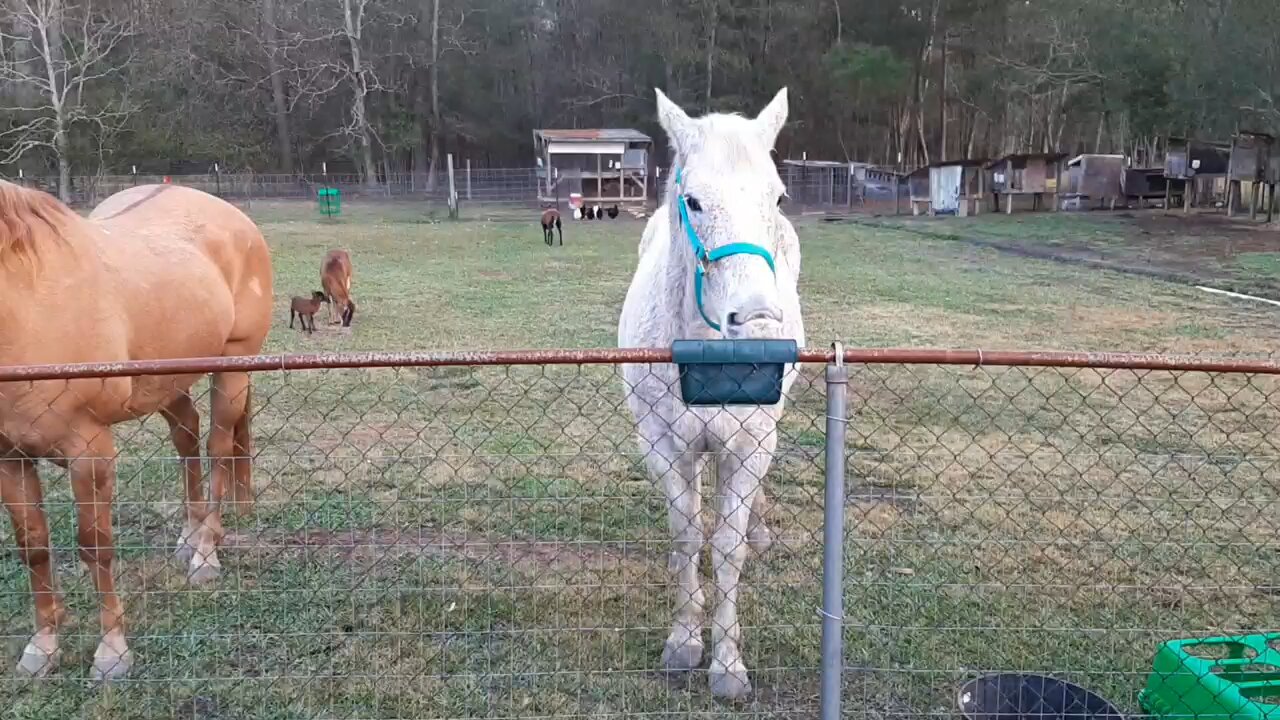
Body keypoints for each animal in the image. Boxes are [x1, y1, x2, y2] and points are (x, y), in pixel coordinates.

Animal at [0, 181, 273, 681]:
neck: (29, 306)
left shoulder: (89, 451)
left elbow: (95, 548)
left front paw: (112, 653)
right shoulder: (10, 457)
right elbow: (33, 547)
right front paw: (41, 648)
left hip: (232, 368)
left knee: (219, 448)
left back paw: (206, 552)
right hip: (167, 382)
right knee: (187, 436)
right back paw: (189, 535)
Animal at [617, 87, 804, 701]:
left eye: (777, 196)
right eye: (693, 201)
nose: (760, 323)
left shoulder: (748, 443)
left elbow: (726, 547)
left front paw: (726, 664)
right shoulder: (661, 442)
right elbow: (686, 536)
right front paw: (684, 642)